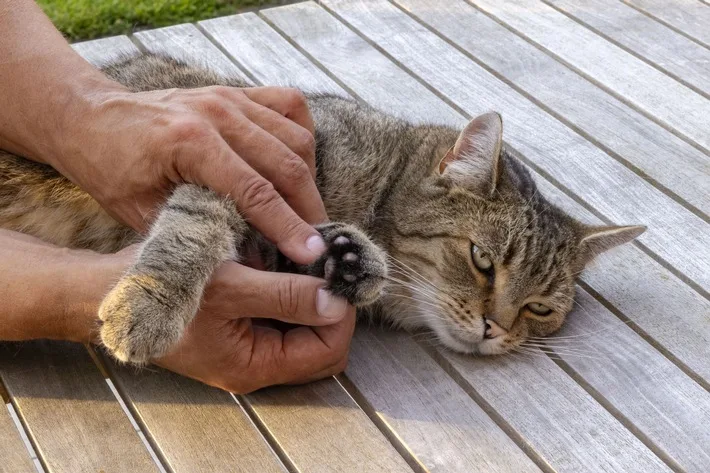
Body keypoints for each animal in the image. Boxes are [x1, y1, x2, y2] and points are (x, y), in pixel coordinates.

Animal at [0, 56, 648, 366]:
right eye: (482, 260)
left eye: (540, 308)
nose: (496, 330)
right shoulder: (236, 156)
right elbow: (192, 227)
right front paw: (147, 304)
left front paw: (349, 258)